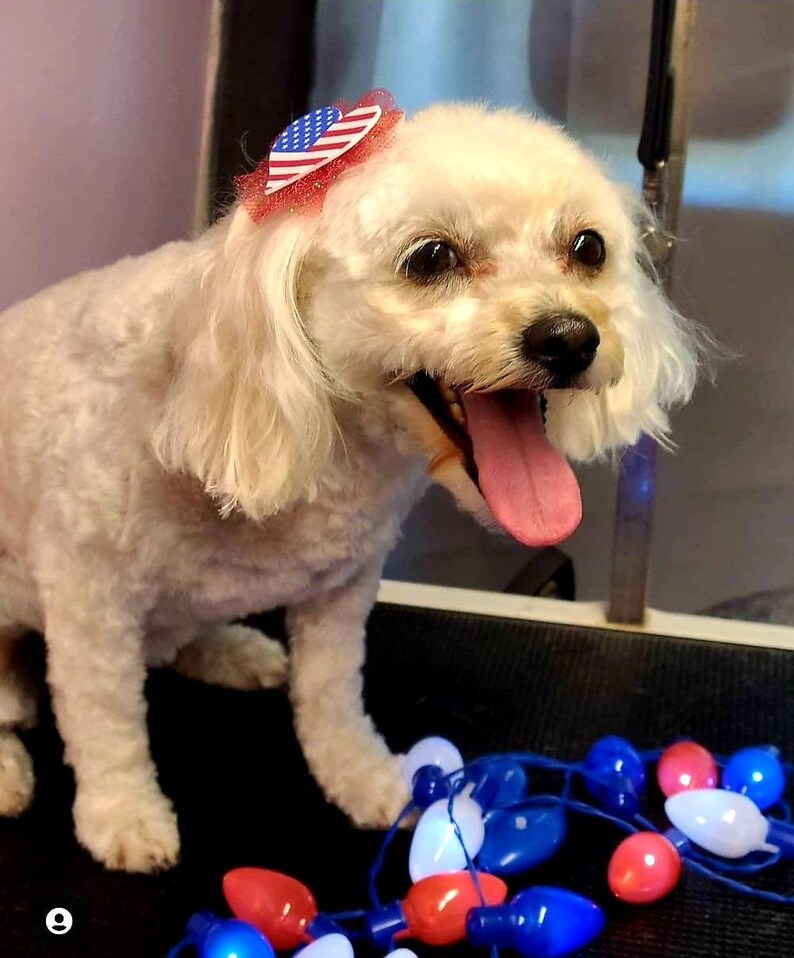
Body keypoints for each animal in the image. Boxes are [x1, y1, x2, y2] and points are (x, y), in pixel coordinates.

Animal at [0, 101, 696, 872]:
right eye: (431, 259)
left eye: (588, 248)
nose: (570, 337)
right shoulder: (89, 597)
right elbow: (106, 720)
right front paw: (122, 814)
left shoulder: (343, 586)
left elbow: (331, 696)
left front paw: (364, 778)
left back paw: (228, 650)